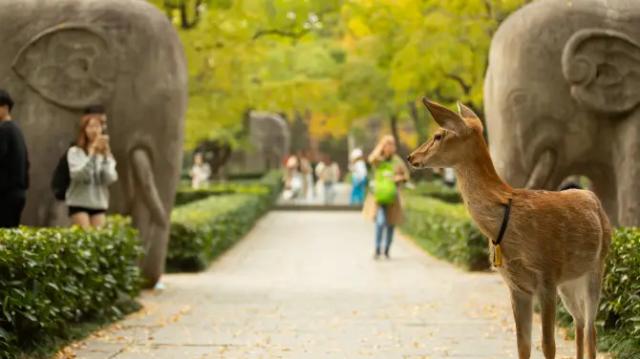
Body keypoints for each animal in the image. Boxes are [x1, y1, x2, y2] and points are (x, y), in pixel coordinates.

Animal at [408, 98, 612, 359]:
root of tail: (593, 197)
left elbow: (548, 345)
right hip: (569, 281)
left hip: (596, 267)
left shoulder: (547, 274)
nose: (411, 156)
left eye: (438, 135)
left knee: (591, 330)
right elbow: (522, 345)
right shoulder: (517, 286)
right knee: (579, 322)